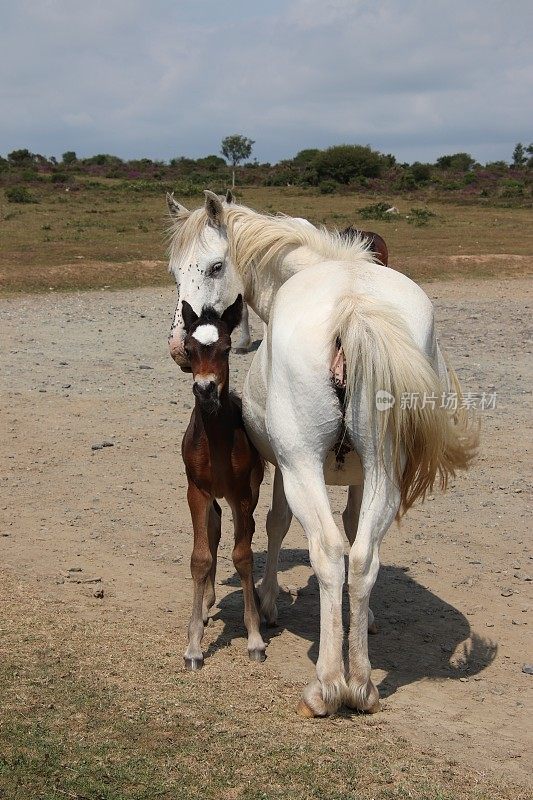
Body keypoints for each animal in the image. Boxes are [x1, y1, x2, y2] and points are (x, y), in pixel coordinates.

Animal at [167, 191, 478, 716]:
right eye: (174, 271)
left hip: (302, 468)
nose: (179, 348)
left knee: (330, 553)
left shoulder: (280, 467)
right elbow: (354, 535)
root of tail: (353, 308)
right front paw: (363, 619)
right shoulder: (359, 477)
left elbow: (275, 525)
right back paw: (363, 684)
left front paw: (268, 603)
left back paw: (329, 685)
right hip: (382, 474)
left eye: (214, 267)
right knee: (362, 556)